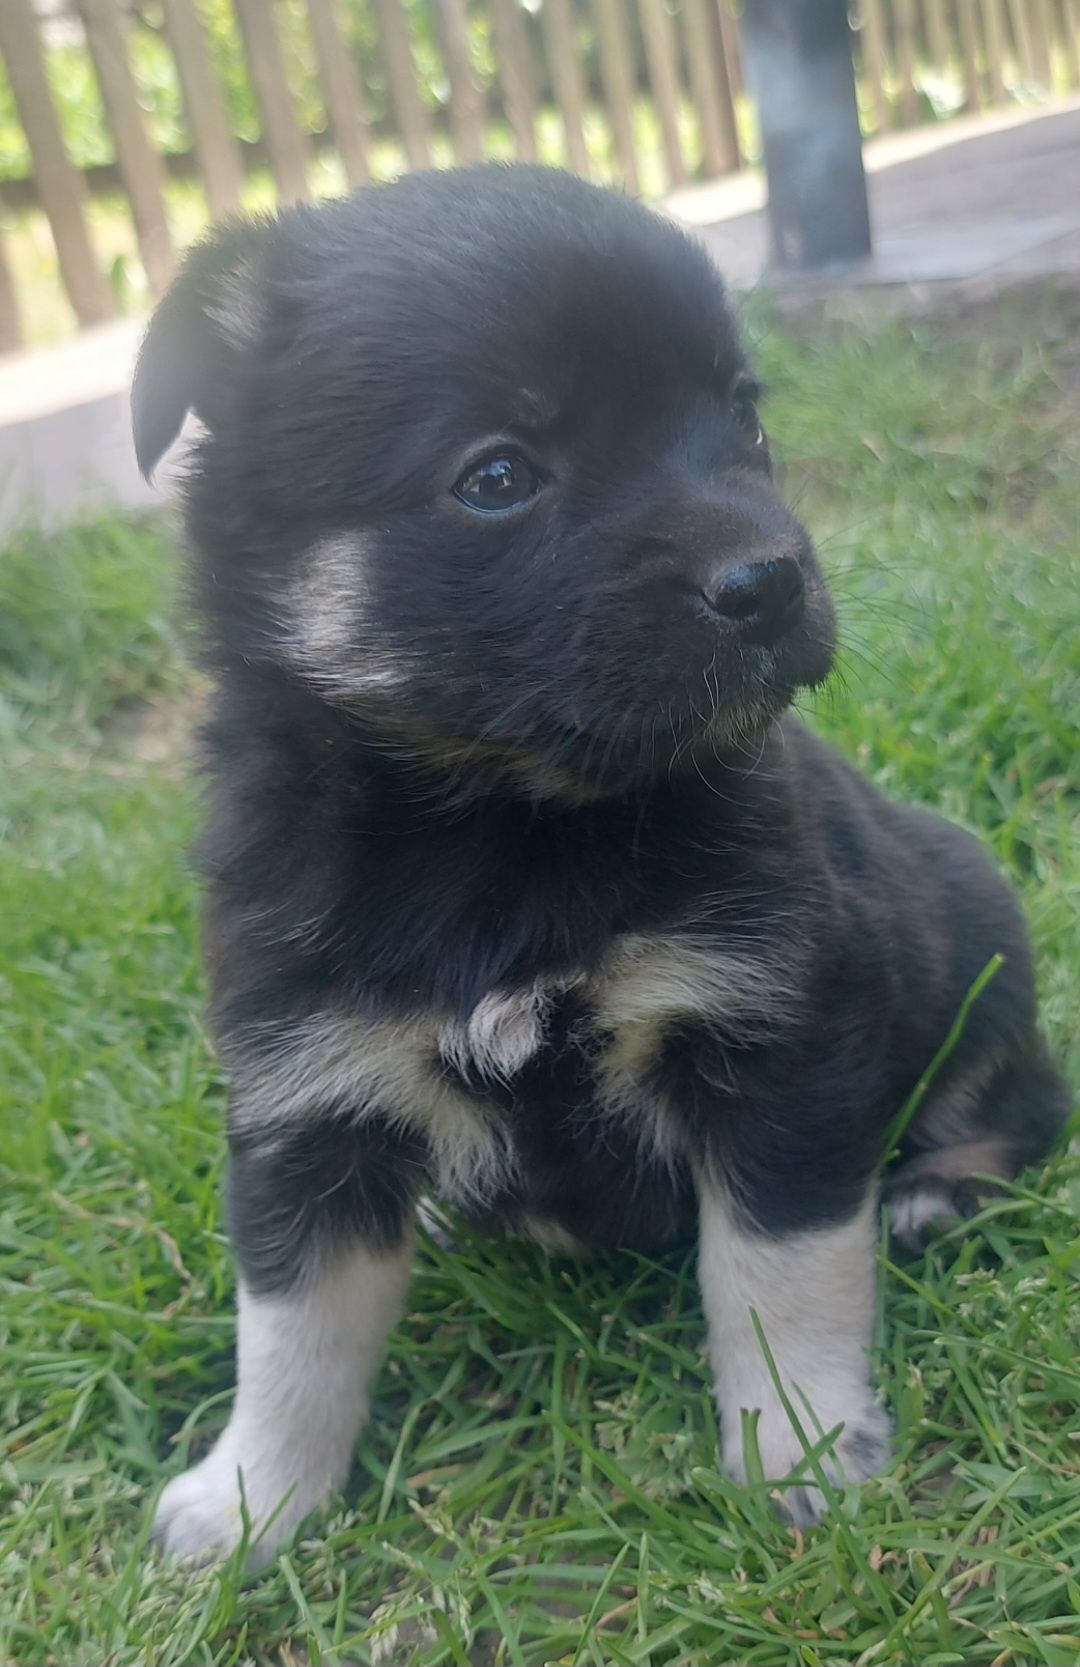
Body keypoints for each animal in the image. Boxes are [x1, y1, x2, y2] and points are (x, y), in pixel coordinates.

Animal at [130, 165, 1066, 1560]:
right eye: (498, 475)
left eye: (743, 416)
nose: (773, 582)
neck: (507, 824)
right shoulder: (308, 1106)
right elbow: (292, 1325)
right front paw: (249, 1503)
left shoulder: (775, 1050)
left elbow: (777, 1273)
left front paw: (799, 1445)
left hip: (982, 944)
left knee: (1020, 1109)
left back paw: (929, 1196)